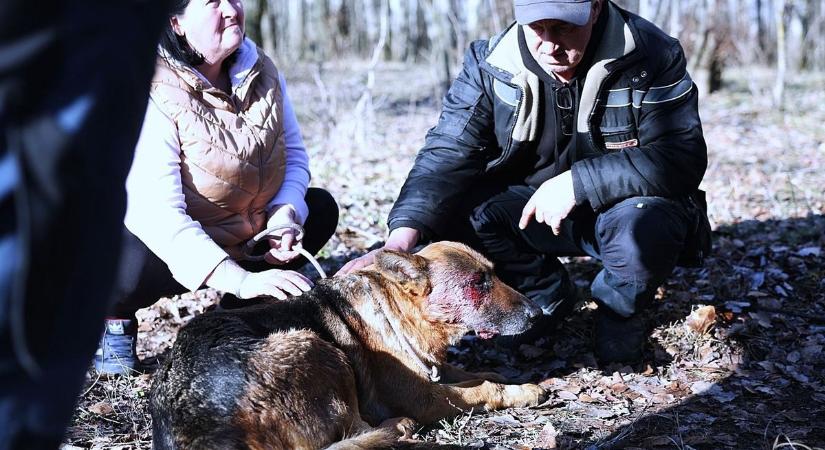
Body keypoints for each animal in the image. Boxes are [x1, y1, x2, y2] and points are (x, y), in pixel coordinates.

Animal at [150, 243, 548, 450]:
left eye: (492, 273)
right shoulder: (422, 397)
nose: (537, 314)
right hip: (313, 345)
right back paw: (399, 428)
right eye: (478, 282)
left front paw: (502, 374)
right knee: (352, 433)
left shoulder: (433, 368)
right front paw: (526, 389)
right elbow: (483, 389)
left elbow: (470, 373)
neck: (396, 308)